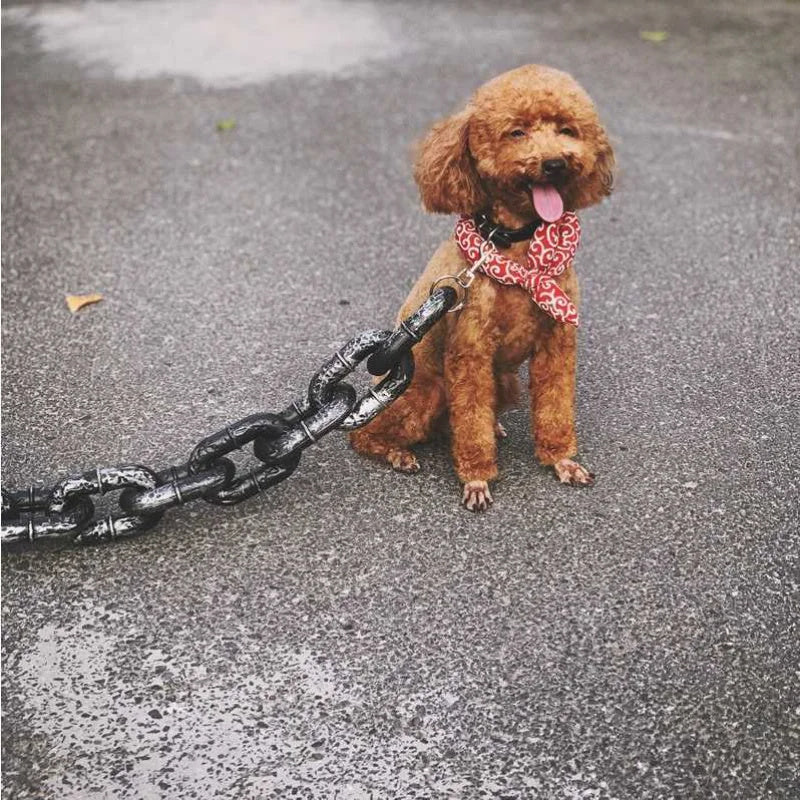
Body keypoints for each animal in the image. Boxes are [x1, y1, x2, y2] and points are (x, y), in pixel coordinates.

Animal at [346, 65, 616, 510]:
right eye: (517, 132)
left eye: (567, 129)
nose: (555, 163)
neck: (518, 251)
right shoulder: (470, 351)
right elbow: (470, 422)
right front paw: (476, 478)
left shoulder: (556, 343)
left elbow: (555, 406)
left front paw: (562, 460)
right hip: (424, 391)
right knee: (366, 435)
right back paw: (396, 453)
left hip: (503, 381)